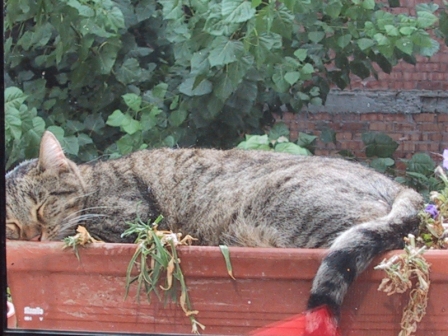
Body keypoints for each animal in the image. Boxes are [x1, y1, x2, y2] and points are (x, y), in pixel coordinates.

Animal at [5, 130, 422, 332]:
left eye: (43, 205)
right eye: (10, 224)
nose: (34, 236)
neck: (92, 183)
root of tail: (397, 185)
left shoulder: (129, 219)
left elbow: (81, 226)